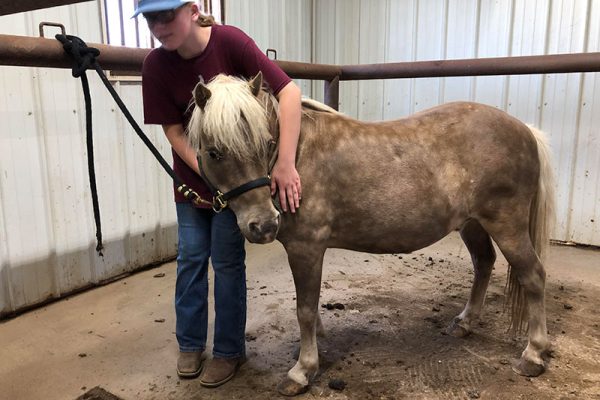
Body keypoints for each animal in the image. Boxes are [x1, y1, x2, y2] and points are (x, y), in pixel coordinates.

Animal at [186, 73, 552, 396]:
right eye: (215, 152)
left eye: (266, 145)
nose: (263, 225)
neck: (295, 158)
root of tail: (526, 130)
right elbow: (309, 305)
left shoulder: (306, 248)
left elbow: (304, 309)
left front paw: (303, 370)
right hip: (472, 223)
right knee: (484, 263)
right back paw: (464, 323)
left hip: (506, 224)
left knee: (533, 275)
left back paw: (533, 355)